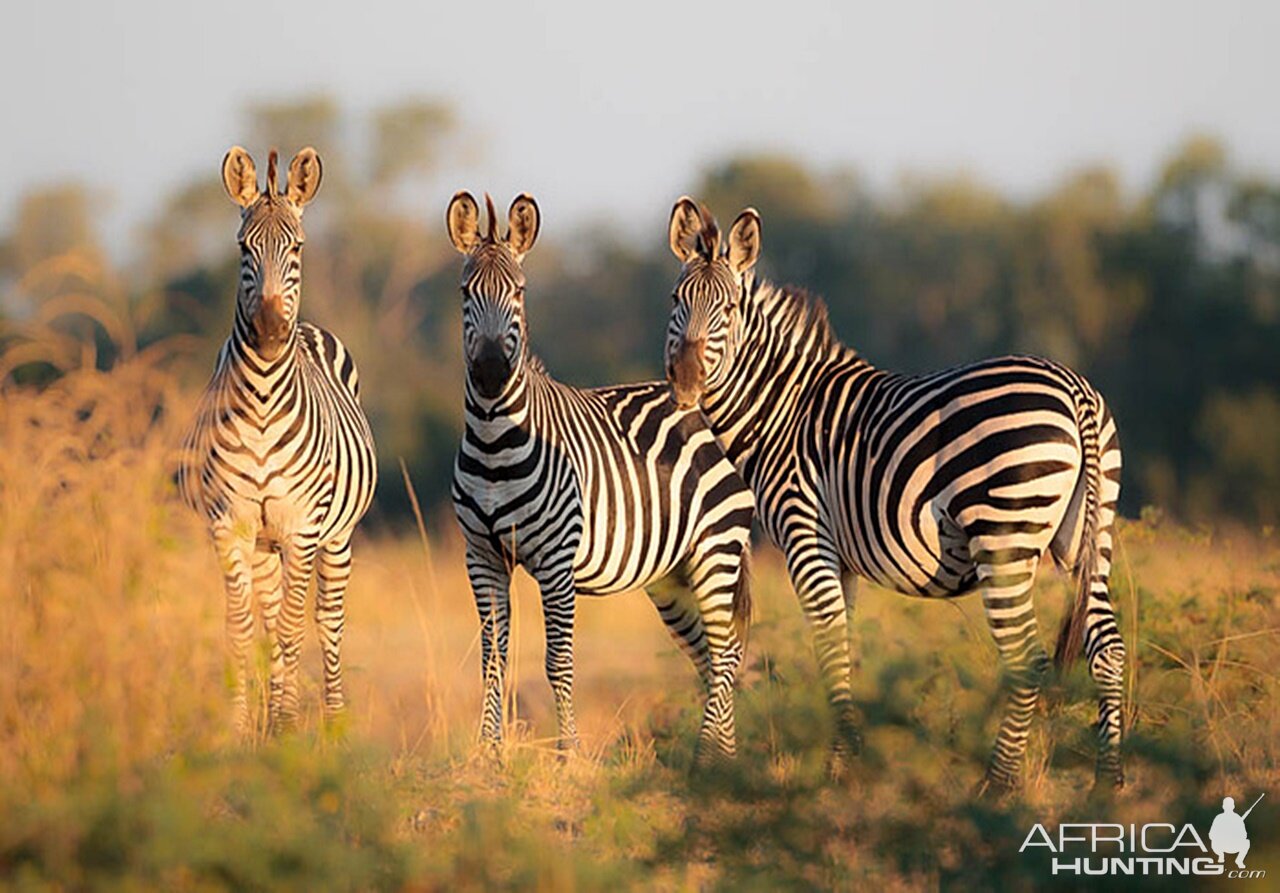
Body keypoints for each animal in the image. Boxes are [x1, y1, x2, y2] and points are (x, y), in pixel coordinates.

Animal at [181, 144, 378, 731]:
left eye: (297, 247)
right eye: (244, 248)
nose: (269, 332)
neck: (266, 400)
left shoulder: (301, 529)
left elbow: (293, 631)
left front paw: (288, 725)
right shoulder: (230, 525)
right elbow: (243, 632)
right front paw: (241, 728)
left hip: (335, 538)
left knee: (327, 621)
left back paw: (332, 722)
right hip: (265, 545)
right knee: (270, 619)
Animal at [445, 191, 752, 762]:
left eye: (519, 292)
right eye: (464, 292)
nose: (493, 371)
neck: (496, 438)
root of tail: (699, 407)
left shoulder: (556, 561)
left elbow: (557, 663)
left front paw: (567, 755)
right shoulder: (481, 557)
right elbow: (492, 660)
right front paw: (488, 754)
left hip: (715, 551)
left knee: (726, 655)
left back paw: (709, 757)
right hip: (671, 576)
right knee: (708, 655)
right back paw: (724, 758)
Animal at [665, 197, 1126, 793]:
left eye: (729, 309)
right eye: (677, 301)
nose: (684, 382)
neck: (781, 409)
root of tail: (1074, 389)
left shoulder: (804, 532)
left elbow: (829, 645)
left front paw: (841, 767)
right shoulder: (841, 557)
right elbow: (842, 645)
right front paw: (845, 761)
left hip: (1004, 538)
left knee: (1029, 660)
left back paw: (998, 784)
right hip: (1089, 538)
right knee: (1108, 650)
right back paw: (1107, 781)